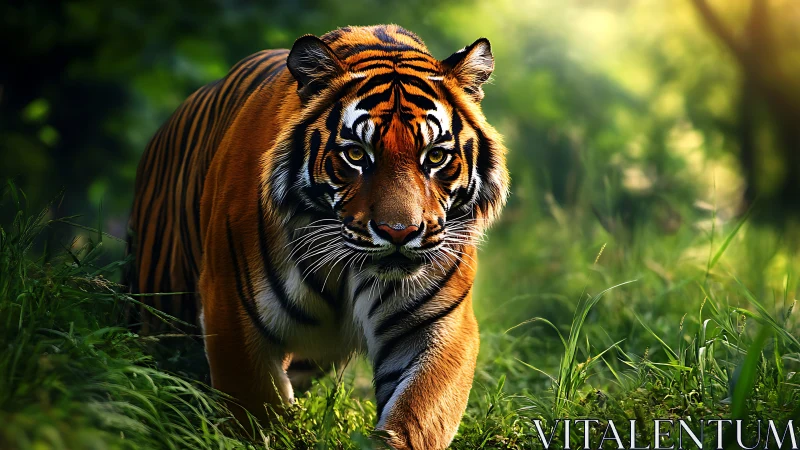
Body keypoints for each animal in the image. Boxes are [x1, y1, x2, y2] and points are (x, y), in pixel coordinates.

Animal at [127, 24, 509, 449]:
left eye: (436, 157)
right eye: (356, 155)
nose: (400, 233)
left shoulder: (435, 326)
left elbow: (416, 416)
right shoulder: (231, 311)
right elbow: (257, 415)